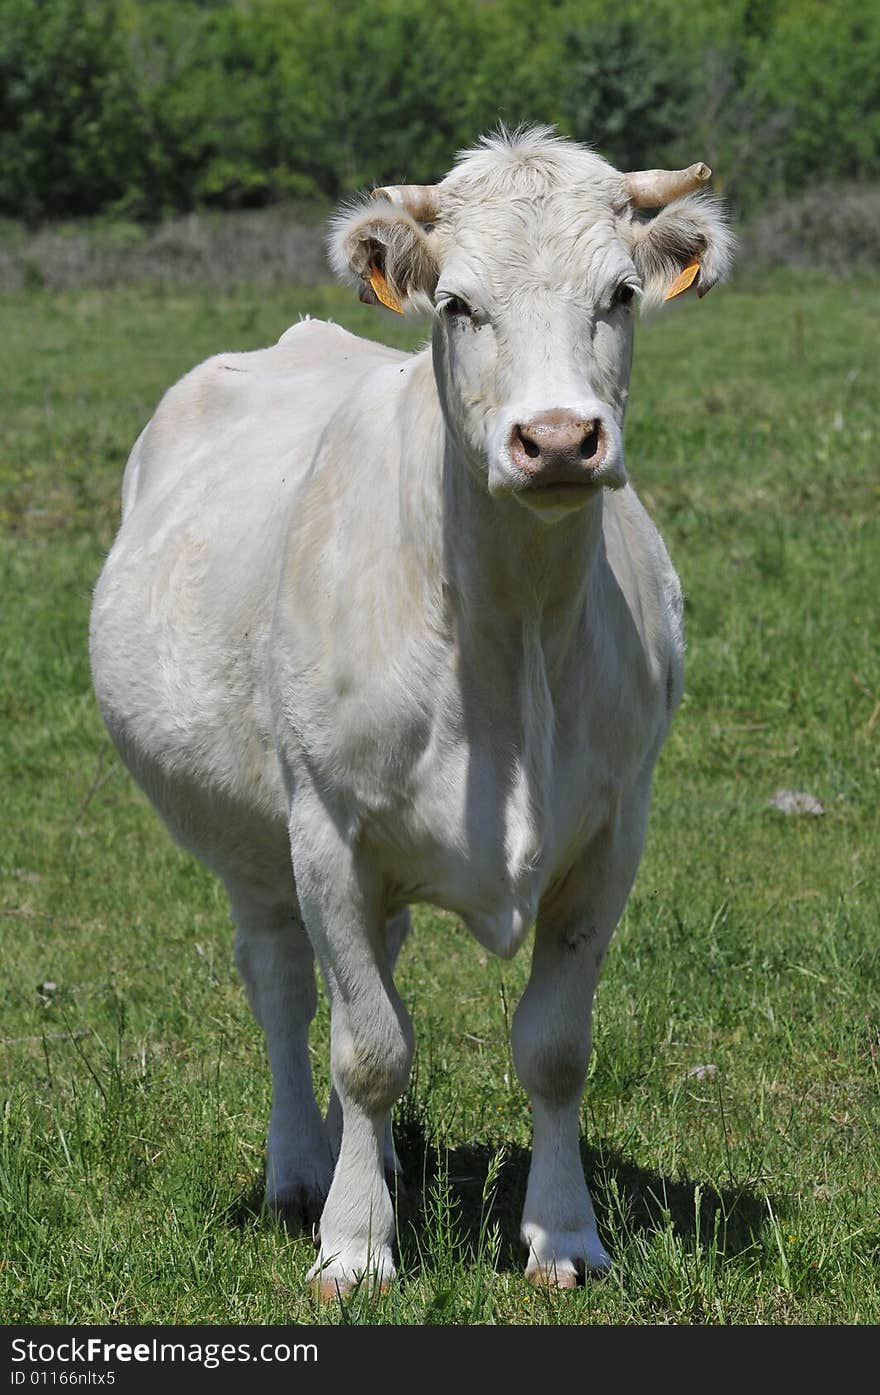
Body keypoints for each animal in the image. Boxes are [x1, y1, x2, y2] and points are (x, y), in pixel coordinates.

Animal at [89, 131, 730, 1294]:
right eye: (458, 305)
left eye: (619, 293)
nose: (557, 440)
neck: (512, 630)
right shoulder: (328, 831)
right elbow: (368, 1051)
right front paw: (354, 1243)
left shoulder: (612, 832)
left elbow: (553, 1048)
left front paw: (563, 1236)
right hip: (252, 844)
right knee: (286, 986)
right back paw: (306, 1168)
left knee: (371, 971)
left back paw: (377, 1162)